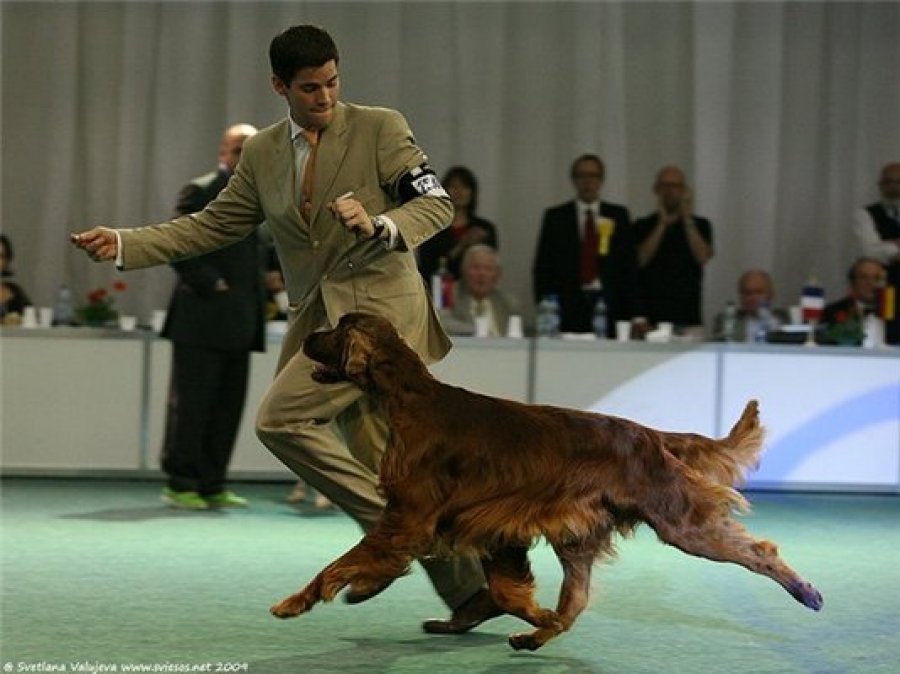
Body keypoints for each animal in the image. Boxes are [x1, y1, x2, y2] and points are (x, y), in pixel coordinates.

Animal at [272, 312, 824, 648]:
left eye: (336, 329)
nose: (305, 337)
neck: (411, 400)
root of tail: (647, 435)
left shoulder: (409, 519)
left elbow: (342, 562)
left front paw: (295, 601)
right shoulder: (488, 526)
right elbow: (509, 591)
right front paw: (529, 618)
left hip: (680, 522)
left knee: (760, 551)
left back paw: (807, 592)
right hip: (578, 535)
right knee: (575, 599)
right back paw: (536, 636)